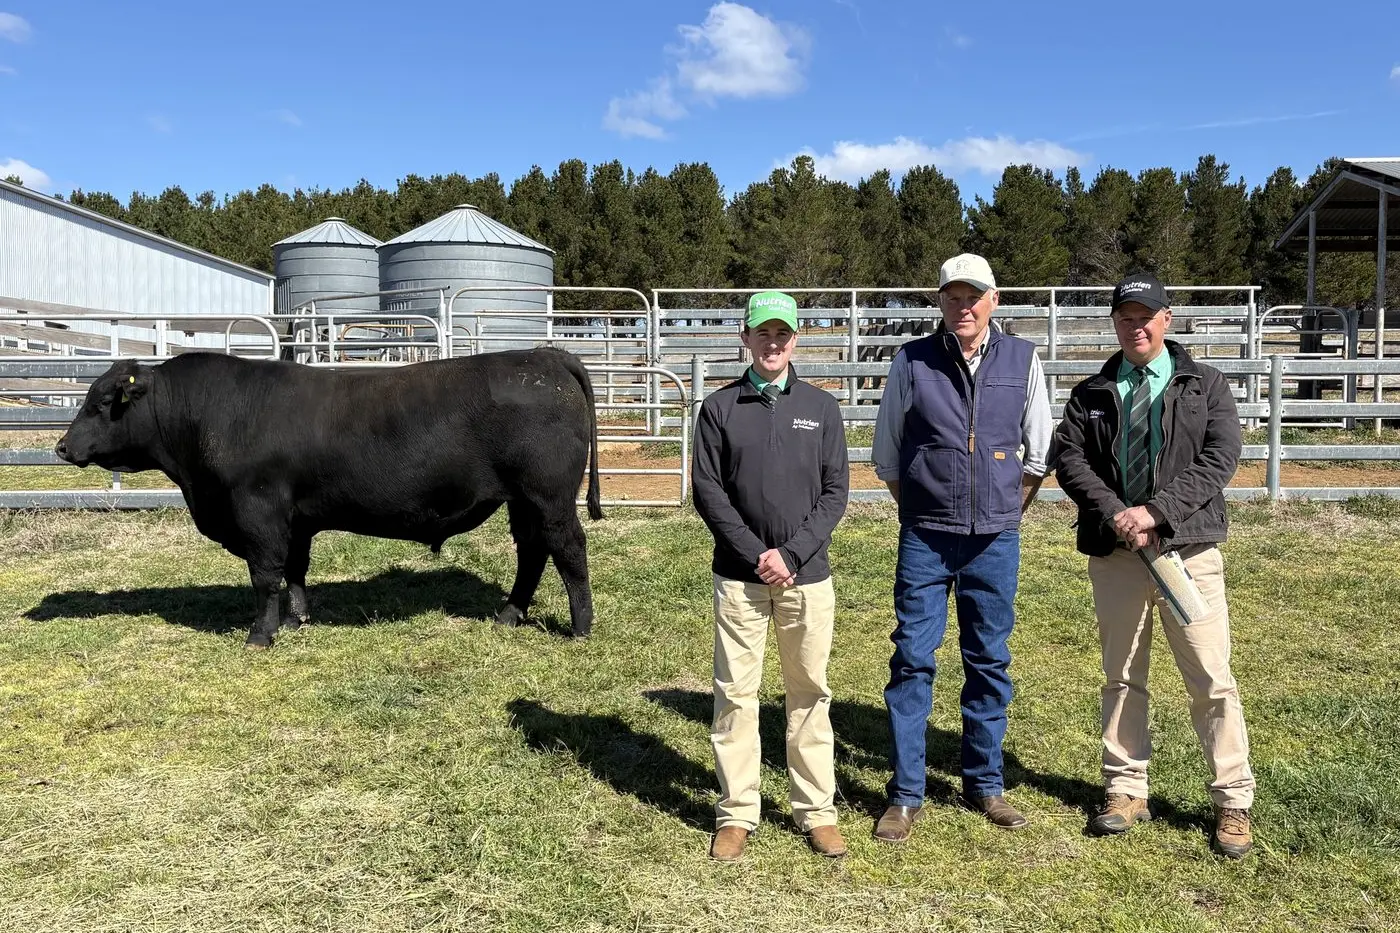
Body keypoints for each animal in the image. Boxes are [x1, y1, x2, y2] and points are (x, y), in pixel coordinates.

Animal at [55, 348, 604, 648]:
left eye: (101, 403)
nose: (62, 446)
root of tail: (544, 356)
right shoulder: (294, 517)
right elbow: (295, 569)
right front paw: (297, 619)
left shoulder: (258, 511)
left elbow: (265, 575)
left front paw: (260, 635)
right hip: (522, 499)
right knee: (532, 551)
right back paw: (509, 614)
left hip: (549, 495)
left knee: (568, 549)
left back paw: (580, 627)